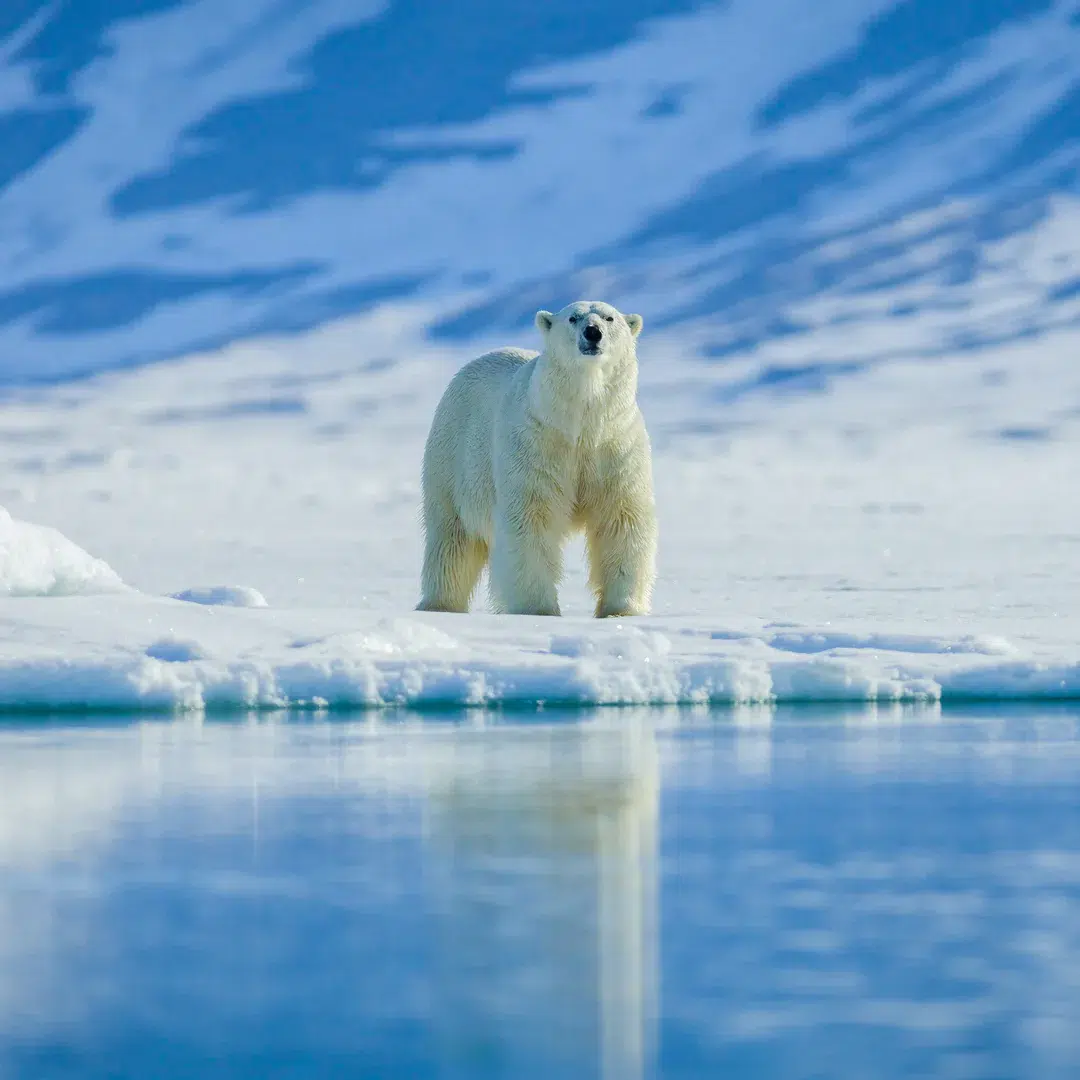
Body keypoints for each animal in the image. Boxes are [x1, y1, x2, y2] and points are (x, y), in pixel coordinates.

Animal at [412, 300, 652, 622]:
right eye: (573, 317)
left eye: (609, 317)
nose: (593, 332)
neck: (580, 425)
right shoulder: (536, 445)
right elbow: (531, 517)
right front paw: (538, 610)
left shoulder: (615, 446)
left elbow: (621, 518)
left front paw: (621, 610)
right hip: (452, 457)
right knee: (452, 538)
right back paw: (440, 604)